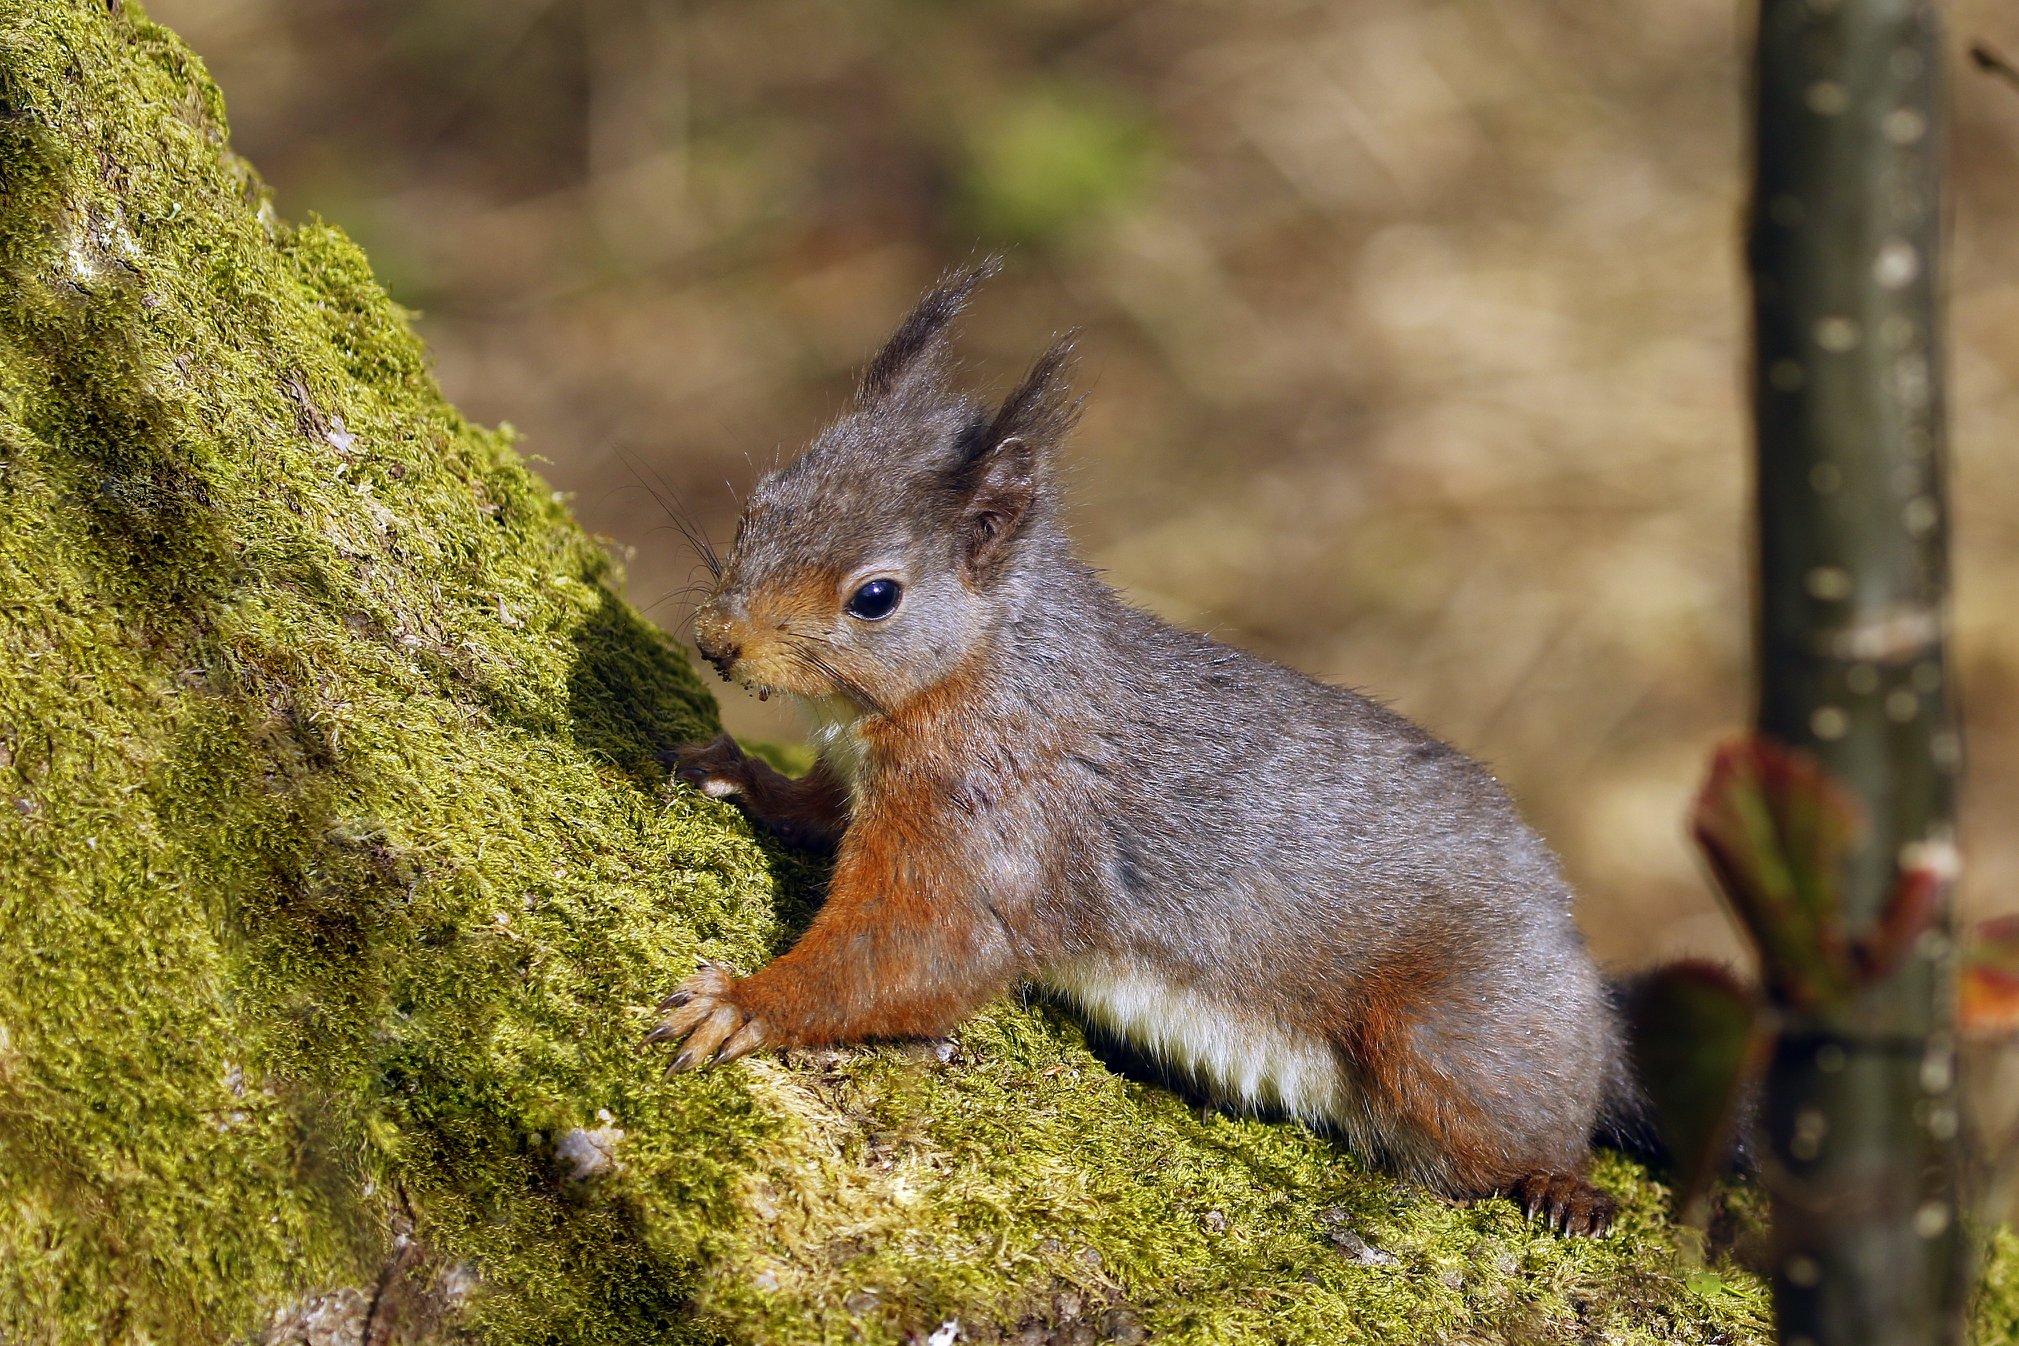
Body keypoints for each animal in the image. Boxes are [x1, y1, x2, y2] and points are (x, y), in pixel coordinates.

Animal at [654, 258, 1631, 1235]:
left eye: (875, 597)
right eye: (759, 505)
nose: (718, 642)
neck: (978, 669)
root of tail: (1568, 944)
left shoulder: (992, 815)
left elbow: (924, 954)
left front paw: (745, 1005)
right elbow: (816, 808)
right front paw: (738, 772)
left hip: (1452, 1042)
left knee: (1518, 1128)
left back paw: (1560, 1184)